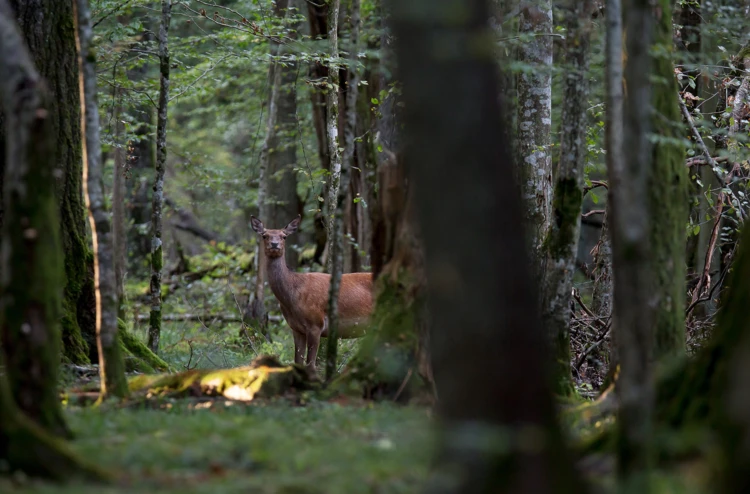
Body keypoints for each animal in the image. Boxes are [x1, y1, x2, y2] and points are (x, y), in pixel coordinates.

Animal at [251, 215, 374, 374]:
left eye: (284, 236)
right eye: (264, 235)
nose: (274, 244)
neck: (293, 297)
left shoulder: (316, 323)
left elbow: (310, 366)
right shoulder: (296, 328)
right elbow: (297, 362)